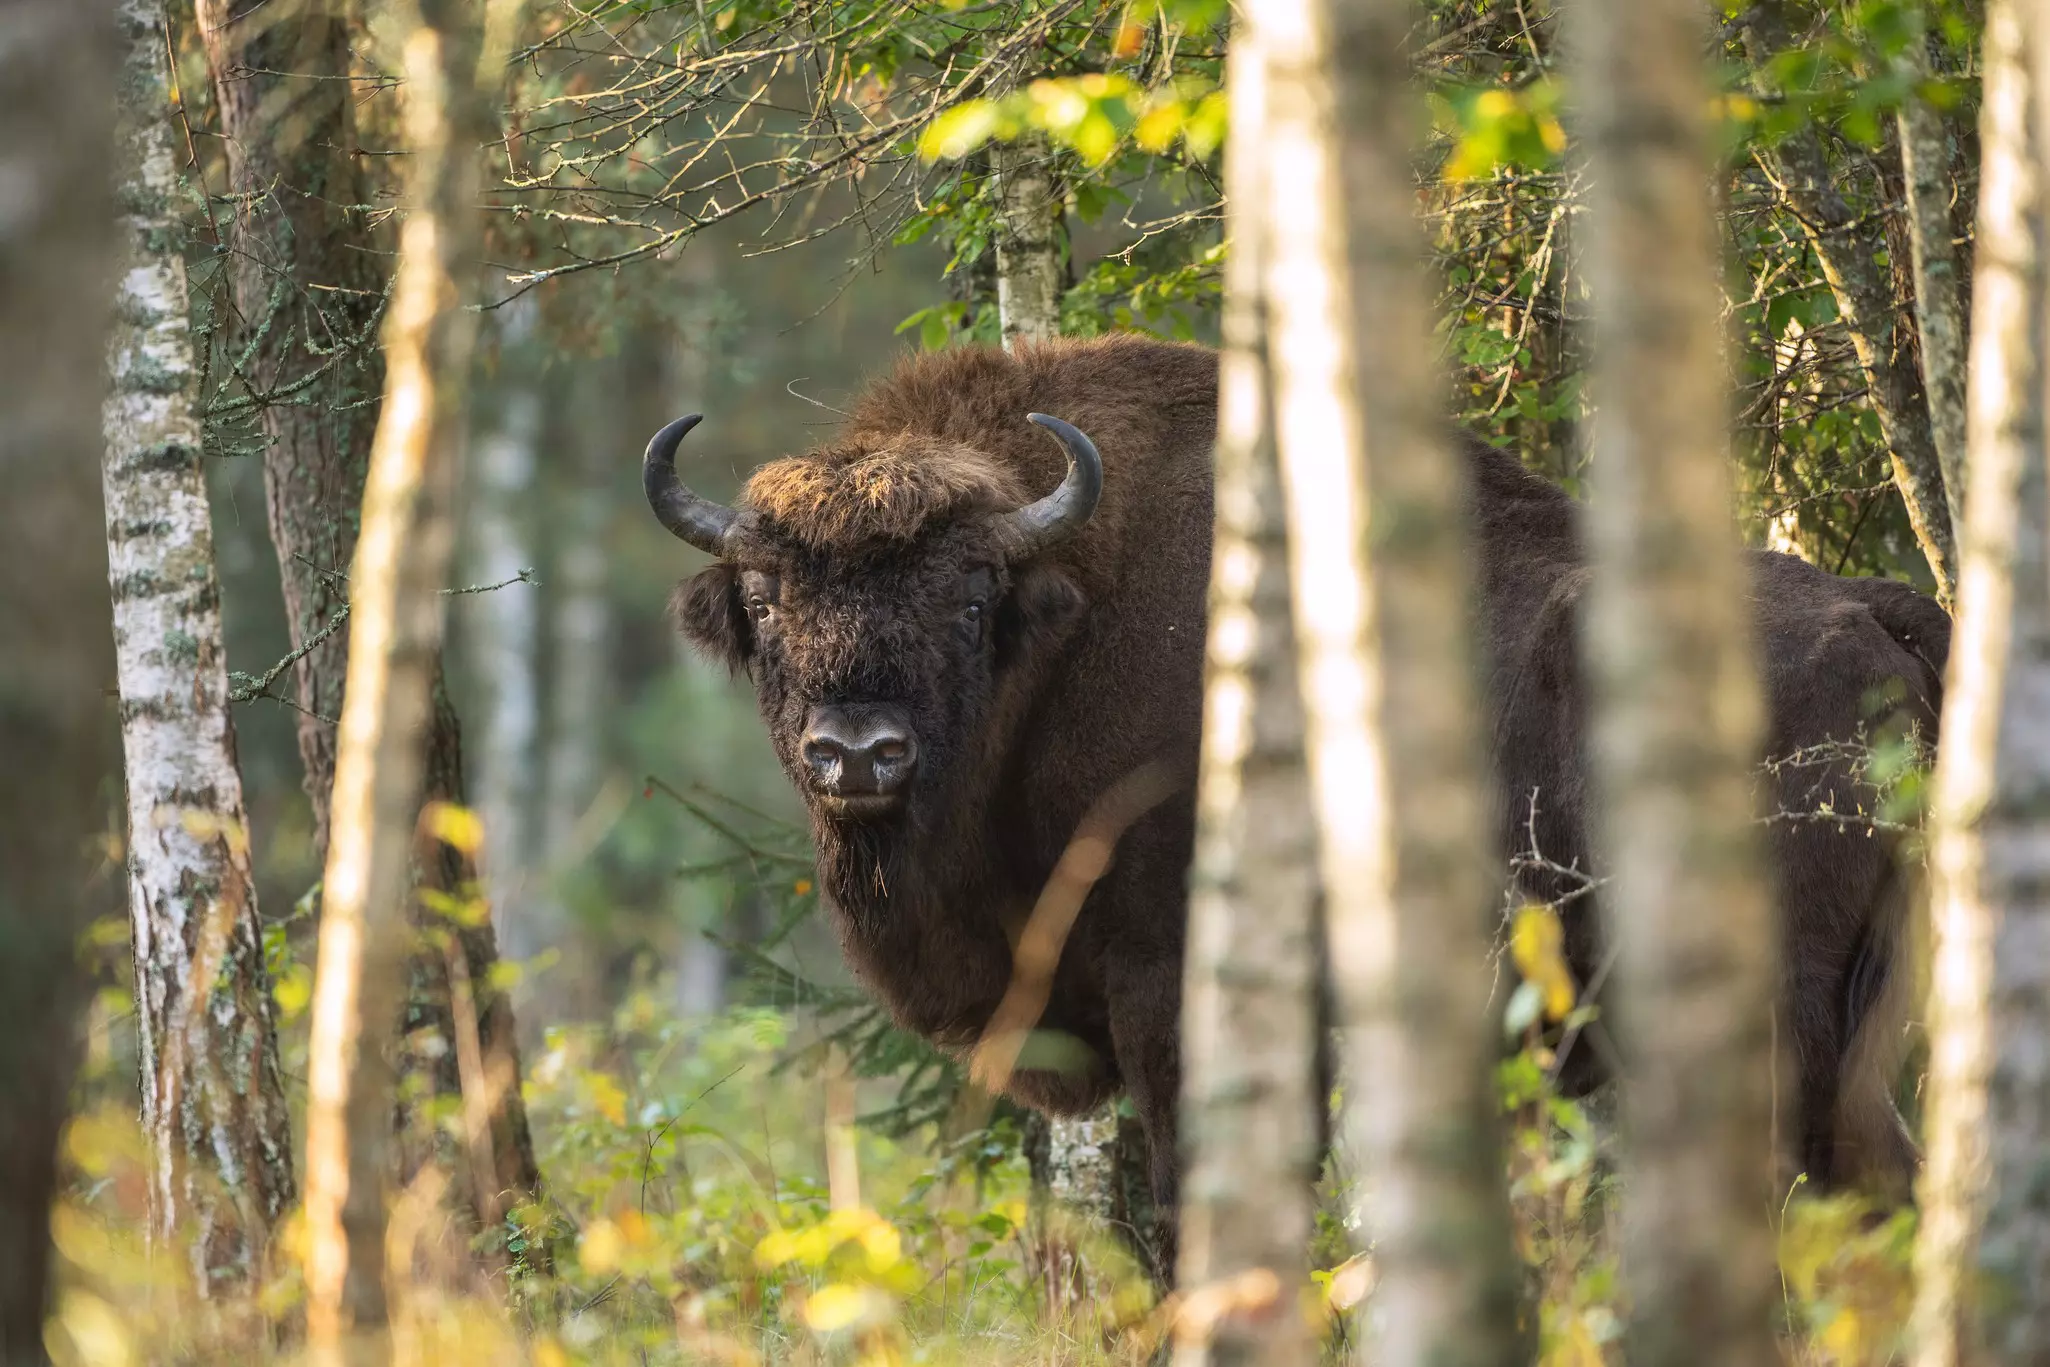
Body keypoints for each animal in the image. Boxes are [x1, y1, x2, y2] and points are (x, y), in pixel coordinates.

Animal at [646, 333, 1943, 1250]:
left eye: (970, 594)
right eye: (763, 600)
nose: (858, 754)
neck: (1063, 617)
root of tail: (1881, 611)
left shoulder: (1169, 983)